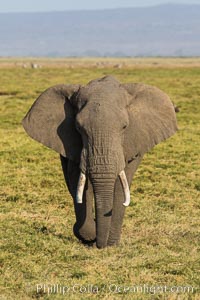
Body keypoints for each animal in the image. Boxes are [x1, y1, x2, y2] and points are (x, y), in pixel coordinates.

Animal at [22, 75, 177, 248]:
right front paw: (90, 235)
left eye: (125, 127)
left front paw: (111, 243)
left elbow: (121, 184)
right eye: (78, 127)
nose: (100, 244)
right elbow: (78, 181)